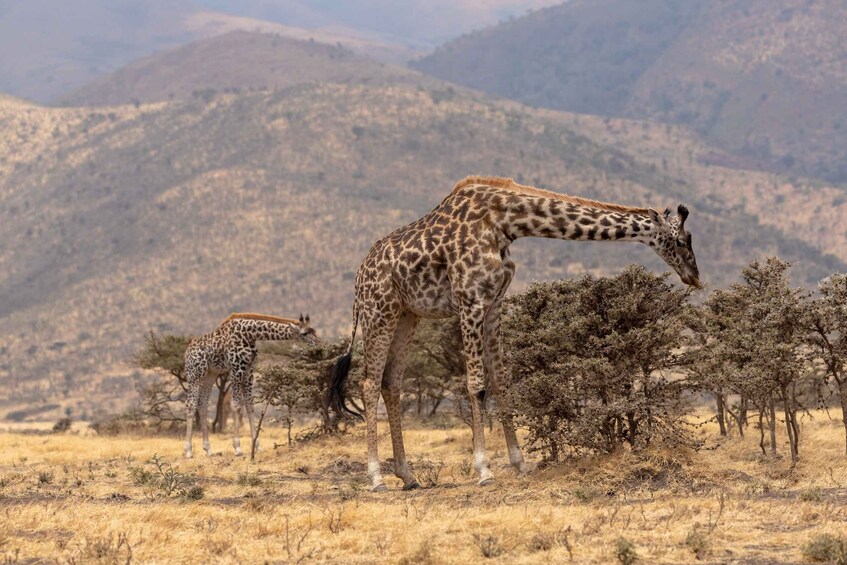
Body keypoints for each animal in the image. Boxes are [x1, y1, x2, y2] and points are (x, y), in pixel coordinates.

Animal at [183, 313, 318, 458]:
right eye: (304, 333)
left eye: (314, 331)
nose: (318, 343)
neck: (249, 335)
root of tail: (186, 352)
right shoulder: (236, 369)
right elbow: (236, 405)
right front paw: (237, 448)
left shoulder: (249, 370)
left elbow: (249, 405)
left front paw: (257, 445)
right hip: (195, 374)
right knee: (191, 404)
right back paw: (188, 450)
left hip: (210, 374)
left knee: (203, 405)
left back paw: (208, 449)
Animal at [328, 176, 701, 491]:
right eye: (682, 240)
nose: (694, 276)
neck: (504, 223)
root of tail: (359, 277)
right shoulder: (470, 301)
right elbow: (476, 384)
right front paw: (484, 470)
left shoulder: (494, 304)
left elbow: (501, 382)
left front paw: (520, 464)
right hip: (379, 311)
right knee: (368, 383)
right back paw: (376, 478)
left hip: (408, 315)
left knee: (391, 383)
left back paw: (407, 476)